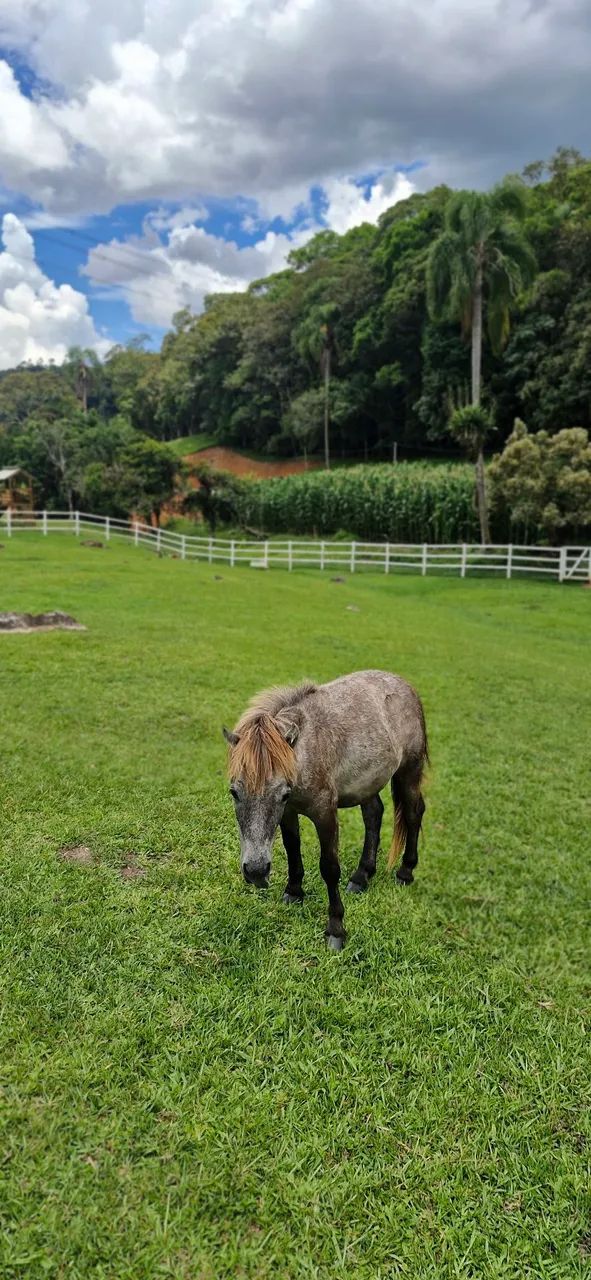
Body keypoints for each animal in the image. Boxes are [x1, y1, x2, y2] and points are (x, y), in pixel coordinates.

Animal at [223, 670, 428, 950]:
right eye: (234, 792)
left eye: (282, 794)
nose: (256, 872)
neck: (304, 753)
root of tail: (404, 685)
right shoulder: (288, 814)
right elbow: (292, 849)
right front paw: (294, 892)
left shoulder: (325, 814)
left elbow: (329, 868)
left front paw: (336, 930)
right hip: (368, 783)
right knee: (374, 815)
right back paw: (361, 876)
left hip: (409, 771)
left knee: (413, 813)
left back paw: (405, 872)